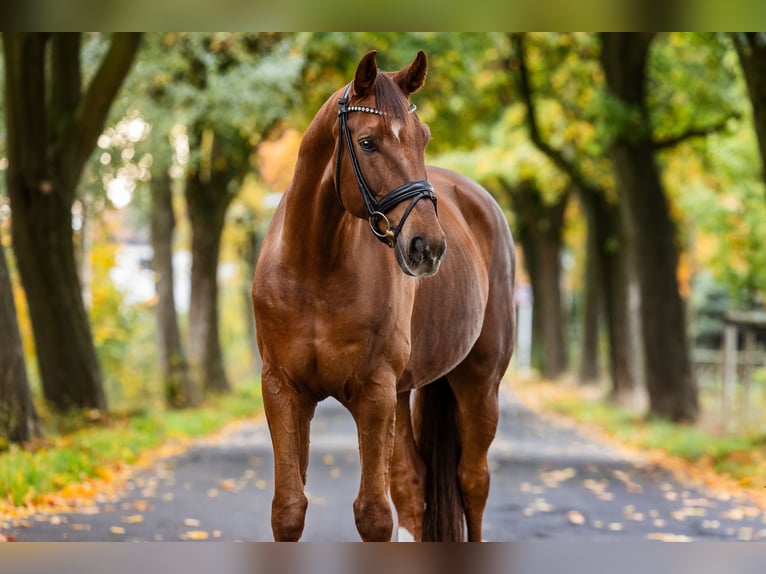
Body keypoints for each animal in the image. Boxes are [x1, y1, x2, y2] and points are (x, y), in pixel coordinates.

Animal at [254, 51, 516, 544]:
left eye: (424, 137)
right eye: (368, 143)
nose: (427, 247)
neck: (315, 268)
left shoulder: (373, 394)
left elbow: (374, 515)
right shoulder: (283, 390)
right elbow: (288, 509)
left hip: (479, 383)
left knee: (473, 482)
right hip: (403, 392)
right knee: (414, 484)